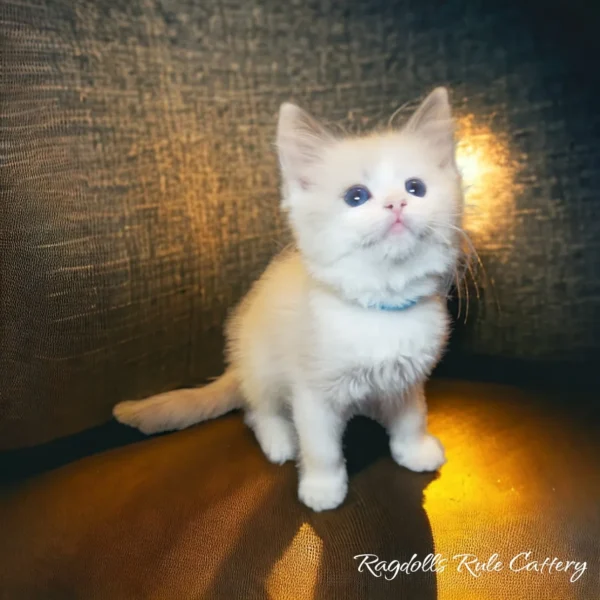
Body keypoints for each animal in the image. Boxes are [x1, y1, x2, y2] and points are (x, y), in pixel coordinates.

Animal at [113, 88, 464, 510]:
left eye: (416, 188)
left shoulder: (406, 377)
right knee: (256, 412)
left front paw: (414, 450)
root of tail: (237, 366)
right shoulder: (311, 392)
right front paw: (323, 488)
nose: (397, 203)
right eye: (356, 196)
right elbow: (321, 448)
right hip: (261, 368)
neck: (379, 306)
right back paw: (279, 441)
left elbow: (412, 417)